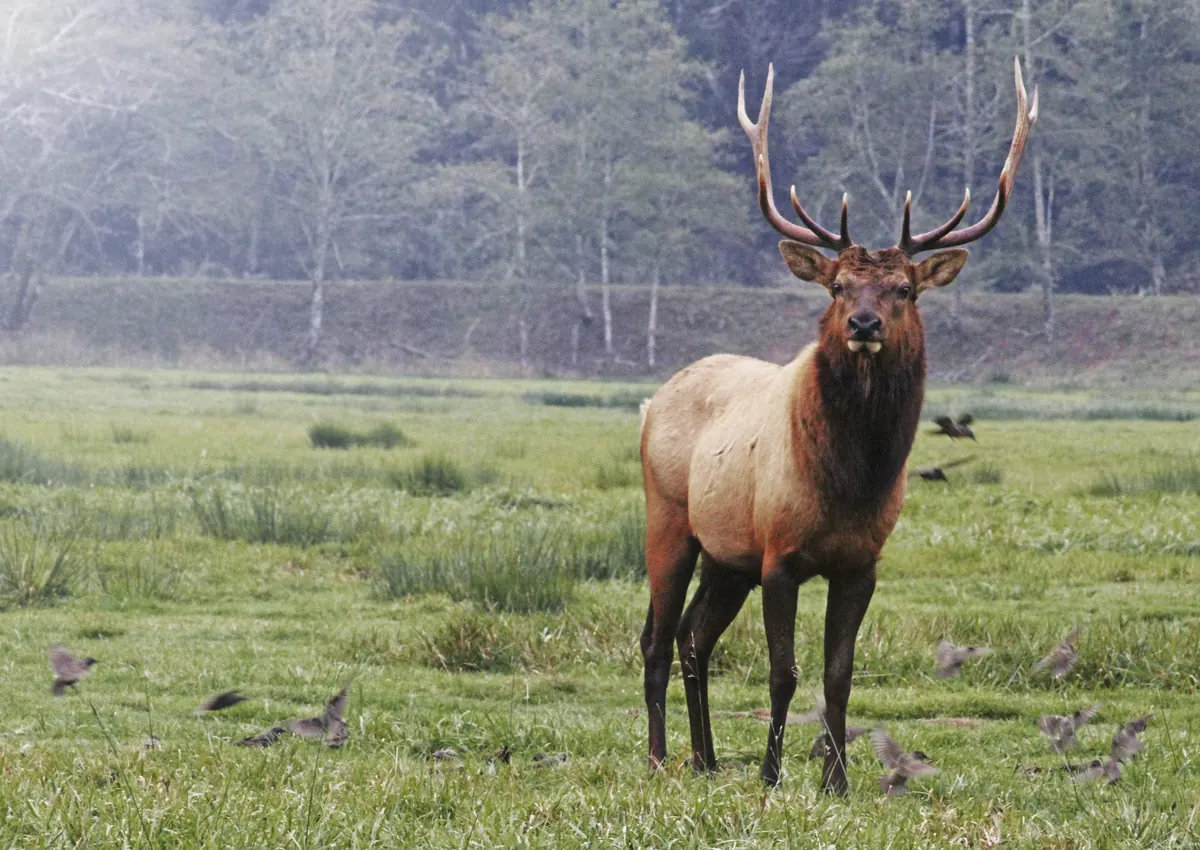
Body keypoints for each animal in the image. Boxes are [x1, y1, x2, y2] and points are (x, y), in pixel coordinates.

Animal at [638, 58, 1037, 794]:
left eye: (904, 288)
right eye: (837, 286)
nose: (864, 323)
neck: (848, 483)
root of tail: (651, 403)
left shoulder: (861, 563)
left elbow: (839, 675)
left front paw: (838, 781)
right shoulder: (779, 555)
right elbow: (783, 671)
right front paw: (771, 774)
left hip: (727, 554)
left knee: (693, 637)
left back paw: (706, 759)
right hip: (670, 519)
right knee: (655, 638)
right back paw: (658, 756)